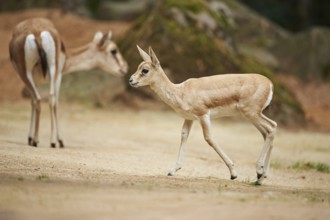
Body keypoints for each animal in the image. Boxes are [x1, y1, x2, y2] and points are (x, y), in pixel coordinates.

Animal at [9, 17, 127, 148]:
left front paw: (34, 139)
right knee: (45, 99)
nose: (125, 68)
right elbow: (44, 102)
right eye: (113, 50)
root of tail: (37, 33)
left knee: (42, 99)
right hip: (42, 71)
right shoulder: (56, 73)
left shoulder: (51, 74)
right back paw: (44, 140)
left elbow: (37, 102)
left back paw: (40, 140)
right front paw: (56, 140)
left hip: (33, 72)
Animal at [129, 46, 276, 184]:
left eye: (145, 70)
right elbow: (184, 136)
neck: (181, 92)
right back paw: (260, 178)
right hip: (252, 115)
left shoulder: (203, 115)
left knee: (271, 128)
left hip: (251, 113)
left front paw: (233, 174)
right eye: (139, 67)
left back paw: (259, 172)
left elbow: (209, 138)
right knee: (269, 130)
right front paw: (173, 170)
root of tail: (269, 83)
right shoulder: (189, 118)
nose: (131, 80)